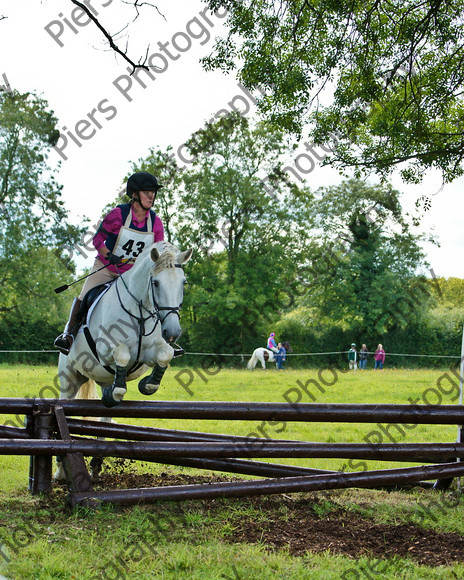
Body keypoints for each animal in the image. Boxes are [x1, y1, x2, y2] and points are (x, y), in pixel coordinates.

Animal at [54, 240, 192, 480]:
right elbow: (122, 353)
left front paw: (148, 384)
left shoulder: (150, 352)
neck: (140, 310)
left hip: (103, 380)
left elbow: (164, 355)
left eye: (183, 283)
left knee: (105, 420)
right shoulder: (105, 349)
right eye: (155, 283)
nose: (173, 332)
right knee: (68, 407)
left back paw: (96, 463)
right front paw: (123, 389)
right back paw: (61, 471)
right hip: (69, 379)